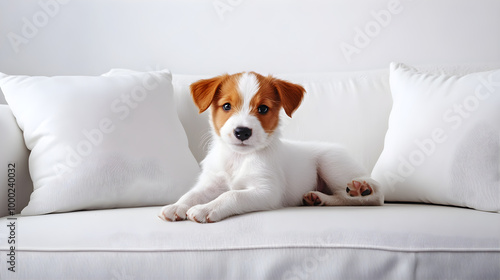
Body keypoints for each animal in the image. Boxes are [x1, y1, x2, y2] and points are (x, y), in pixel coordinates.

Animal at [159, 72, 382, 223]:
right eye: (227, 106)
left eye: (263, 109)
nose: (242, 132)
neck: (239, 158)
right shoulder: (211, 183)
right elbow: (192, 194)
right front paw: (177, 206)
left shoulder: (267, 191)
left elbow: (232, 194)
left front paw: (205, 209)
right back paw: (317, 198)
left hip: (332, 164)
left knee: (373, 197)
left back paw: (362, 190)